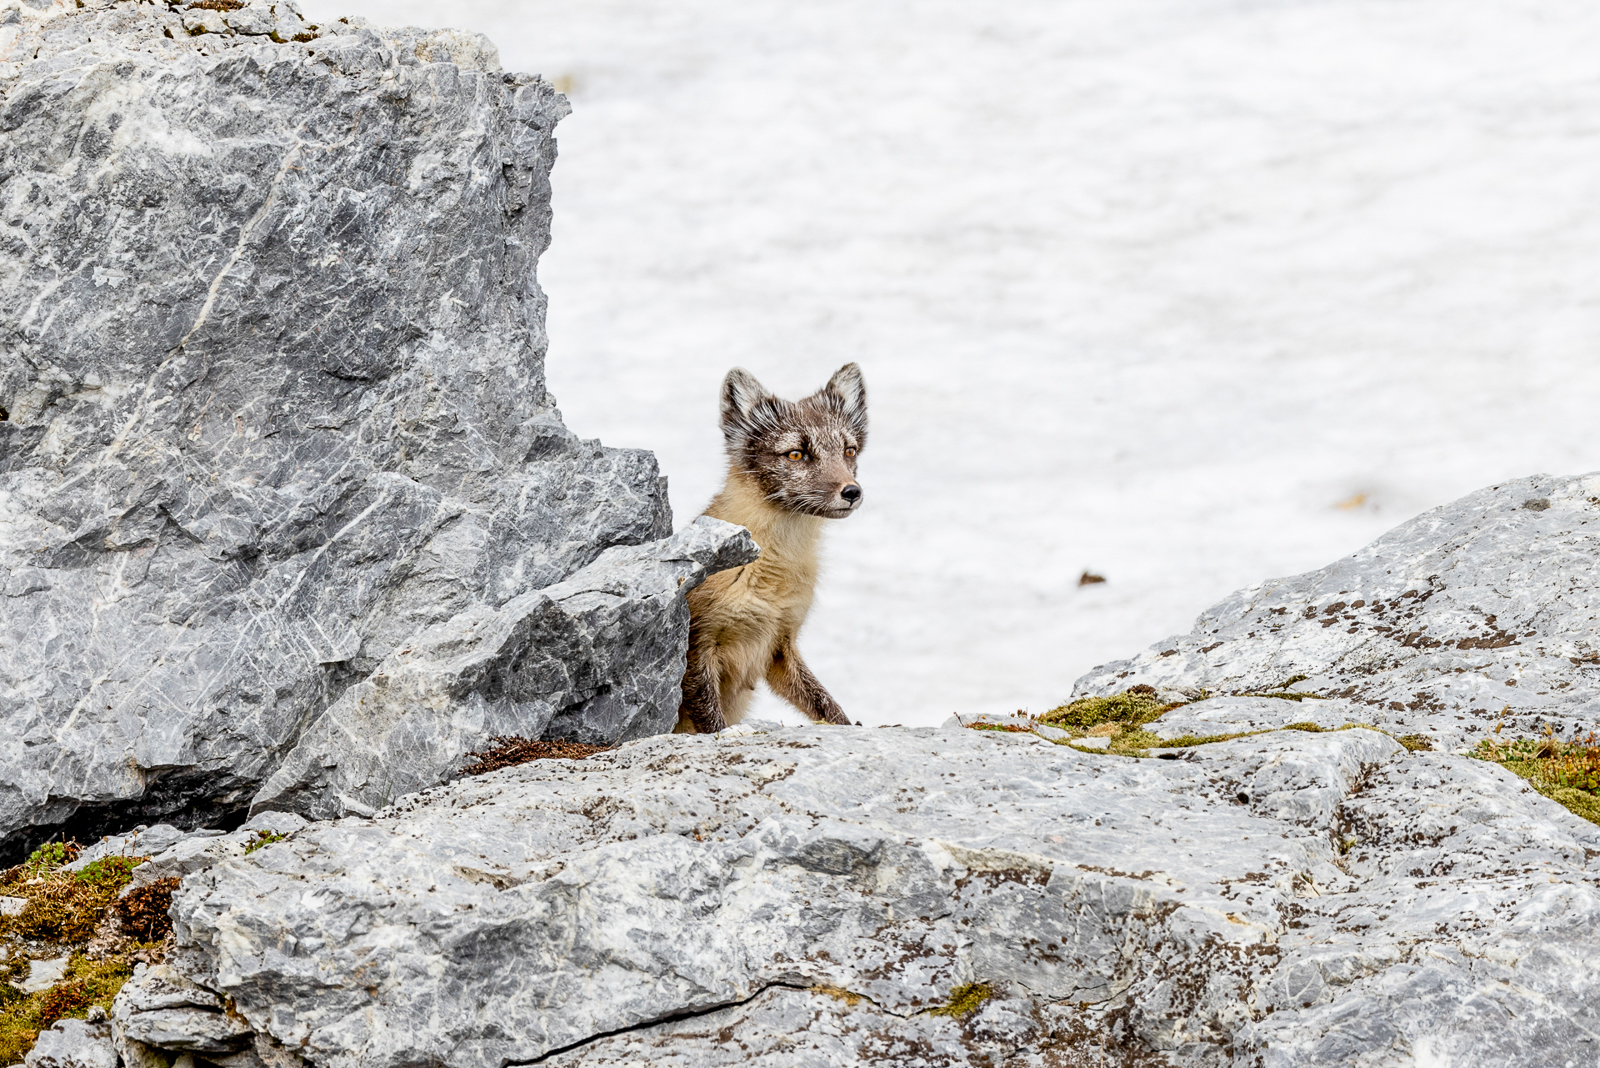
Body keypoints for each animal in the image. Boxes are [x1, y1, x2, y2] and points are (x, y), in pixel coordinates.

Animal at [676, 363, 868, 733]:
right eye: (796, 453)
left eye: (849, 451)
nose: (852, 492)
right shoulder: (698, 645)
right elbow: (713, 723)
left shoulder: (779, 644)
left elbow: (827, 706)